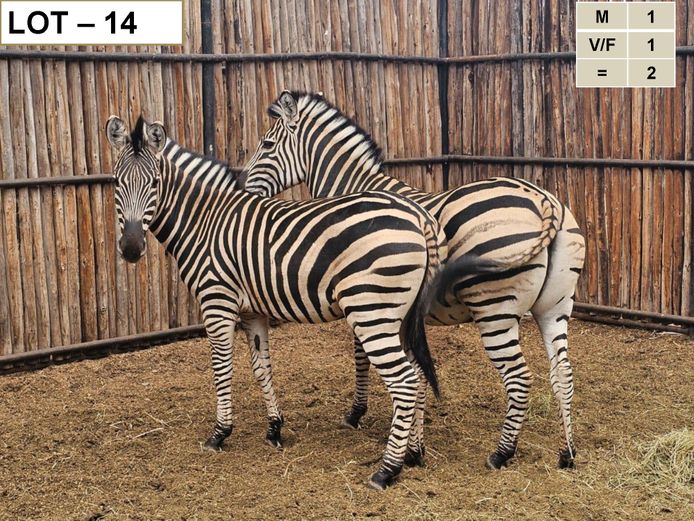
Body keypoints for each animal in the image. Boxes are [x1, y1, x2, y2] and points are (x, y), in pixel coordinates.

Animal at [105, 114, 496, 490]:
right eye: (117, 183)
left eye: (155, 183)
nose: (131, 248)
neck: (206, 223)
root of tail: (419, 216)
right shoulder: (253, 312)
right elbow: (262, 368)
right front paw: (274, 429)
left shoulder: (217, 302)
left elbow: (221, 369)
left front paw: (220, 433)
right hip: (401, 315)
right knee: (418, 373)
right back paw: (414, 453)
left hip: (372, 310)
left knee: (405, 381)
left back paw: (387, 471)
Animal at [238, 91, 587, 471]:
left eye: (267, 144)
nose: (242, 188)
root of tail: (544, 199)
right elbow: (416, 371)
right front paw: (411, 443)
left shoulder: (366, 298)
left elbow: (362, 357)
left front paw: (358, 414)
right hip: (554, 307)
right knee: (564, 374)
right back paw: (567, 453)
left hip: (494, 309)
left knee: (519, 378)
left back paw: (502, 453)